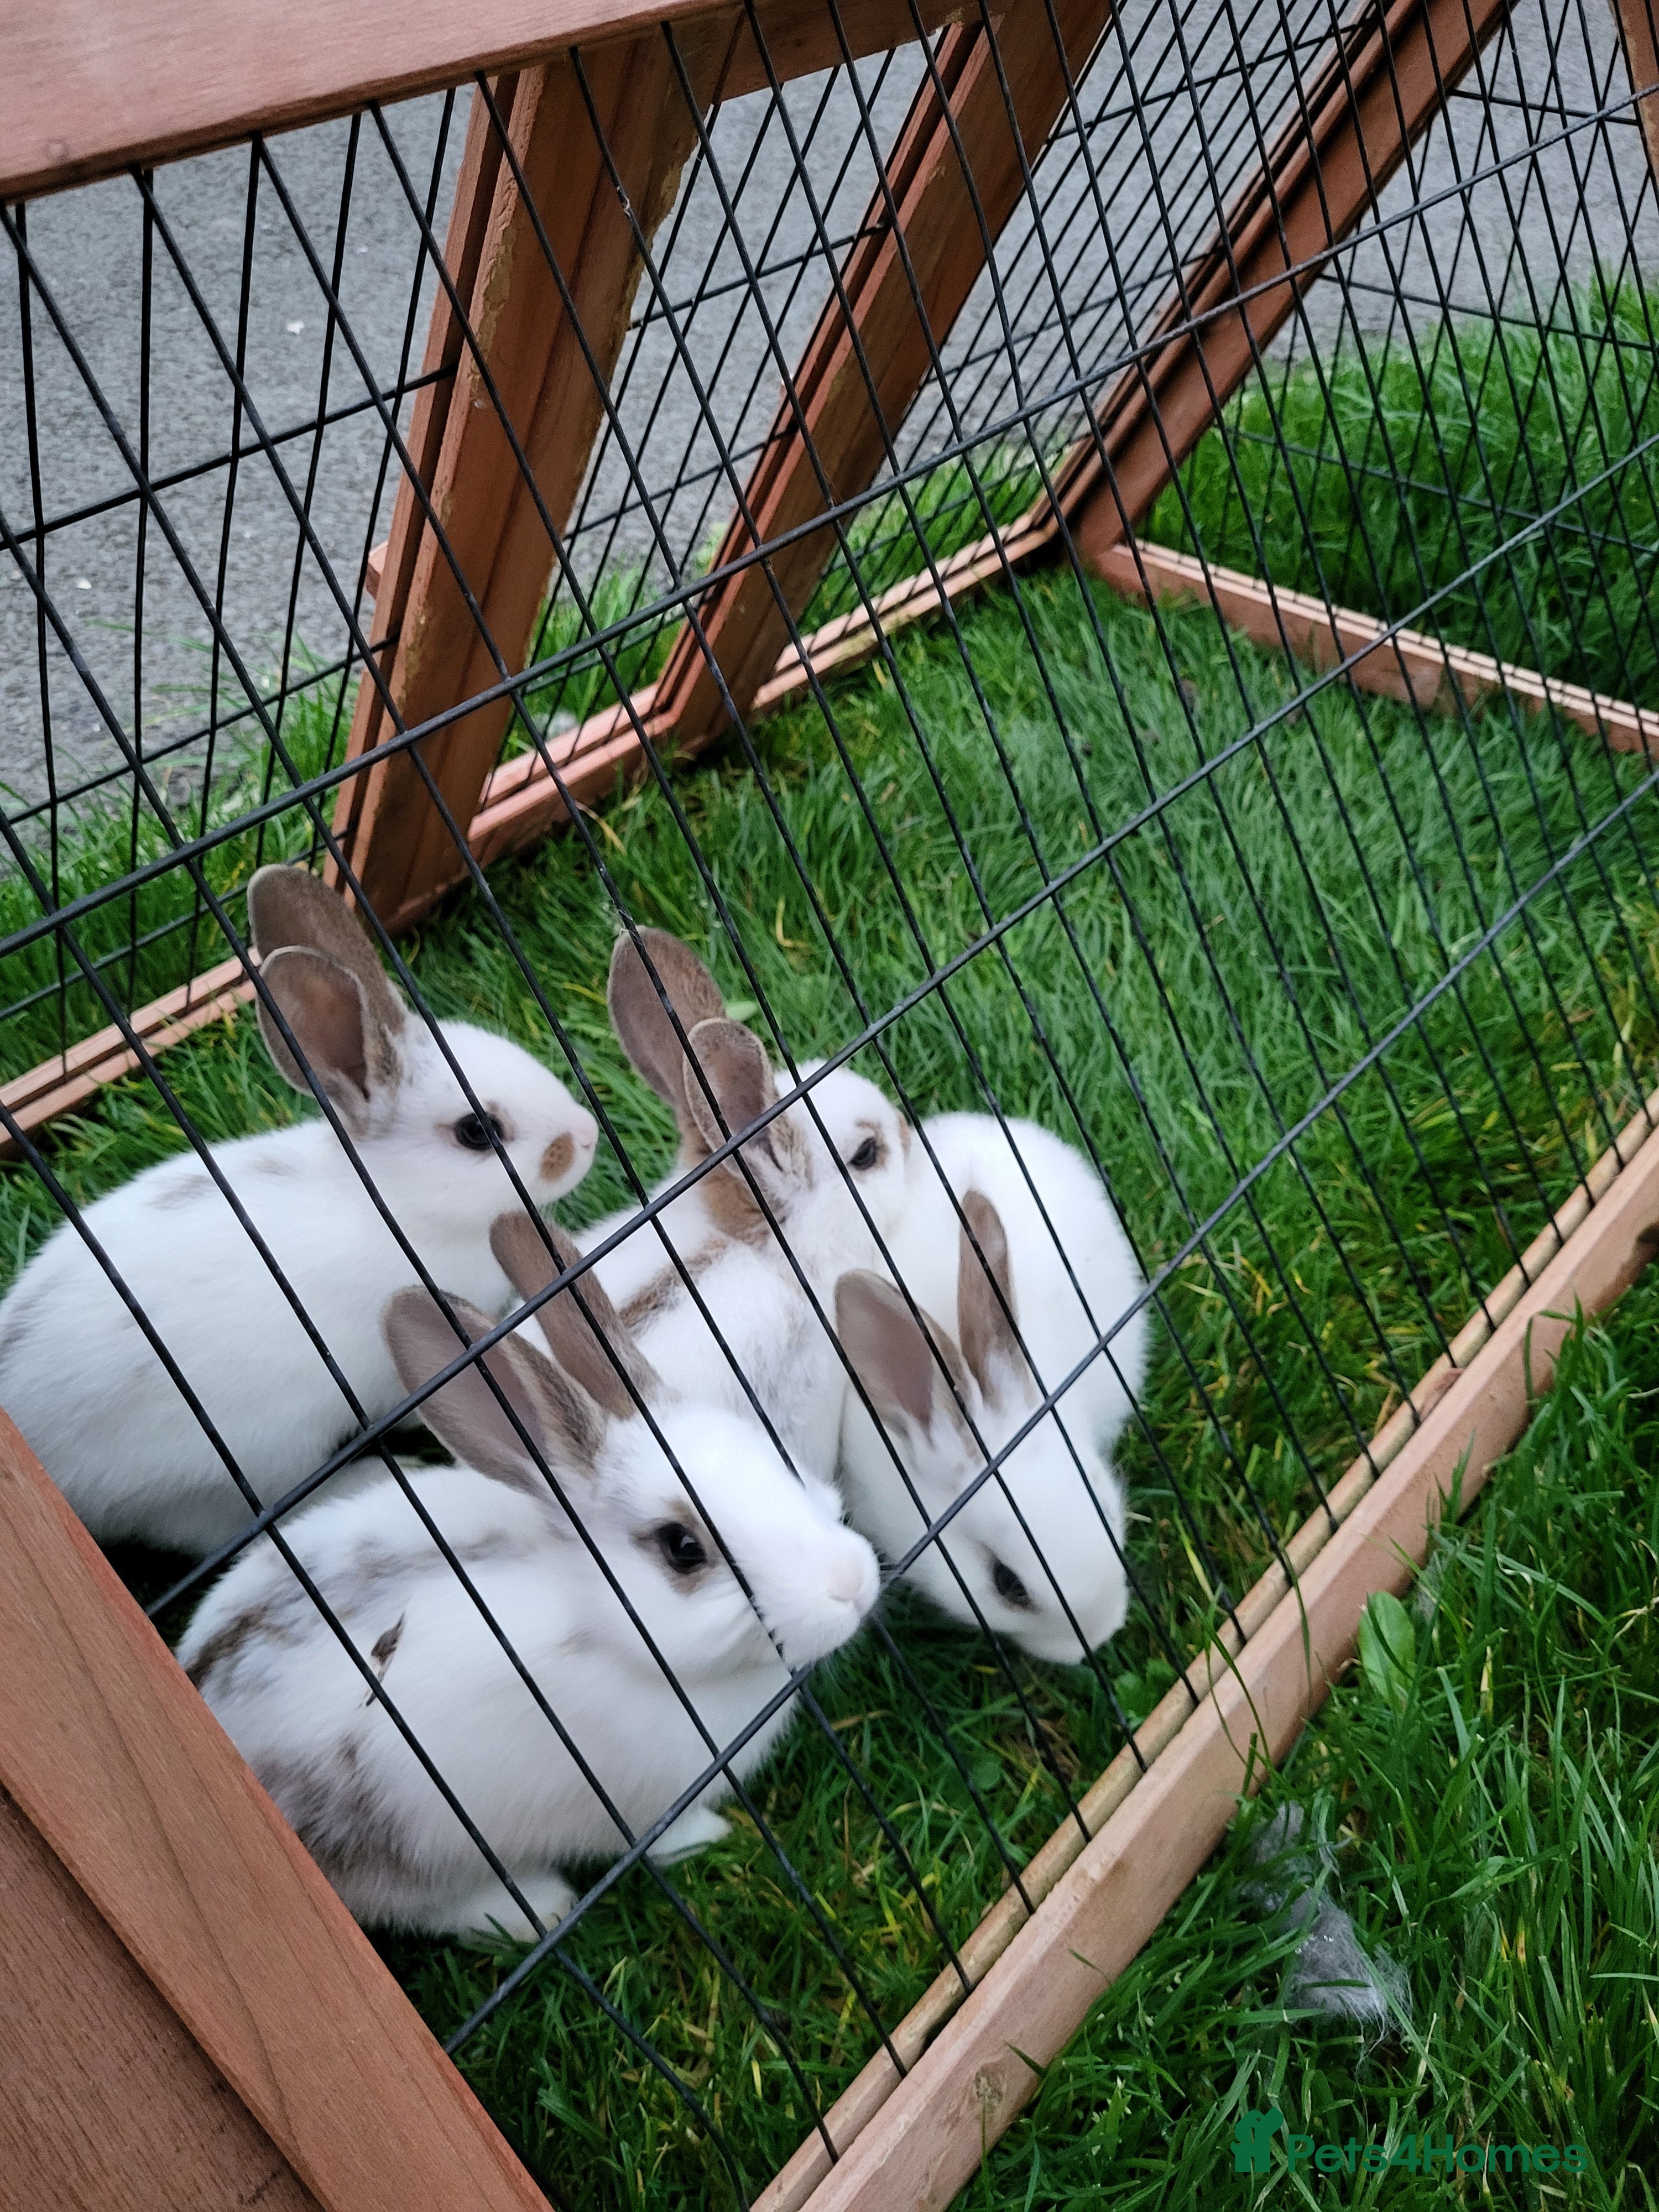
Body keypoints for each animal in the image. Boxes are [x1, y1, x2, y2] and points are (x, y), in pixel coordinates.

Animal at [177, 1214, 881, 1938]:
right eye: (683, 1547)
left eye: (774, 1456)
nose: (854, 1586)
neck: (603, 1626)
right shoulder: (636, 1806)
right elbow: (665, 1834)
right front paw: (715, 1835)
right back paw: (539, 1907)